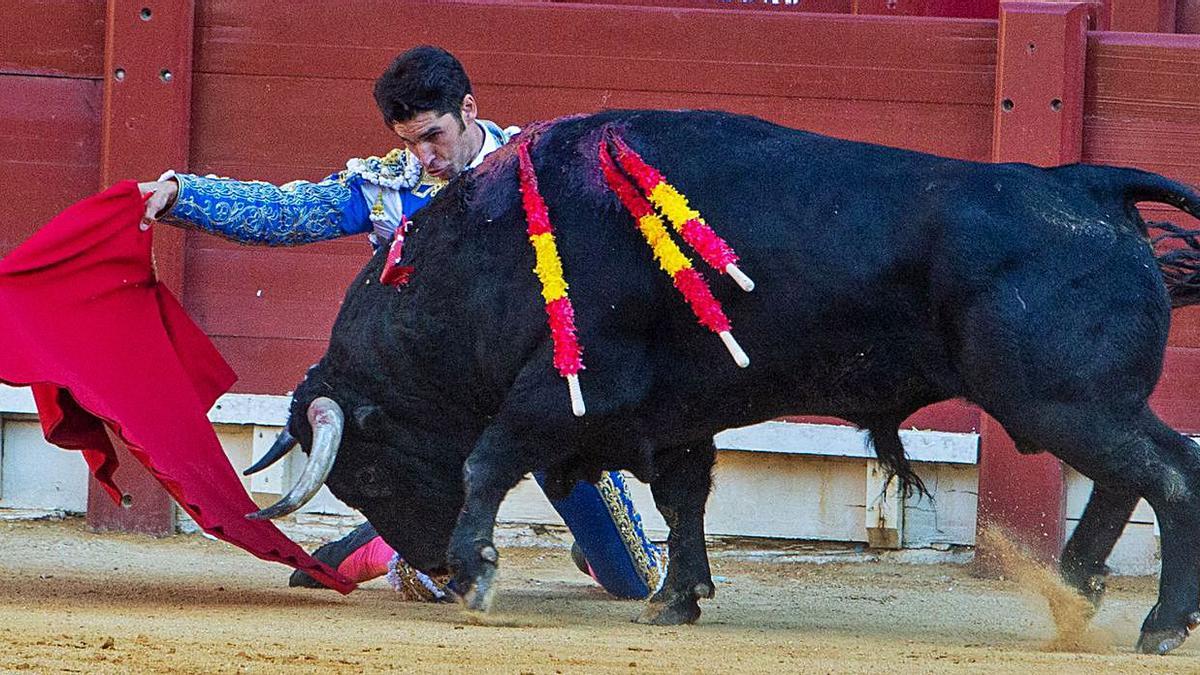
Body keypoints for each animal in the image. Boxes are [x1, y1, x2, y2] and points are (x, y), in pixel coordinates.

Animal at [270, 110, 1200, 653]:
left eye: (369, 472)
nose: (430, 566)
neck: (484, 260)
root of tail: (1088, 183)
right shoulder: (671, 416)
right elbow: (684, 500)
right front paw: (676, 599)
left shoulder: (570, 388)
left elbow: (486, 458)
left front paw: (479, 570)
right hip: (1076, 404)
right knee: (1135, 474)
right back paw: (1078, 589)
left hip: (1060, 399)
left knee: (1170, 471)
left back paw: (1158, 624)